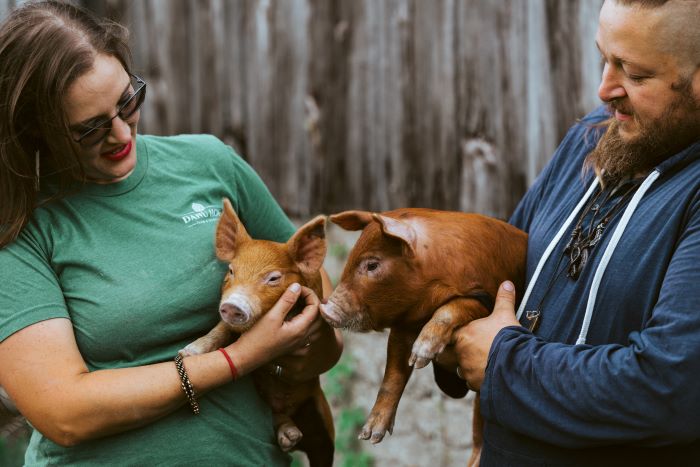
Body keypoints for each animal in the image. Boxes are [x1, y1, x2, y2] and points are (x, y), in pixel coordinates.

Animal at [179, 199, 334, 467]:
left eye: (273, 278)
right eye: (231, 270)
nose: (233, 305)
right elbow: (221, 328)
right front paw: (188, 353)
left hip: (323, 419)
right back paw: (289, 437)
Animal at [319, 208, 527, 467]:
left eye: (372, 265)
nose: (325, 309)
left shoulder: (486, 300)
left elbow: (453, 307)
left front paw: (420, 356)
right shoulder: (404, 324)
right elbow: (392, 374)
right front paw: (370, 435)